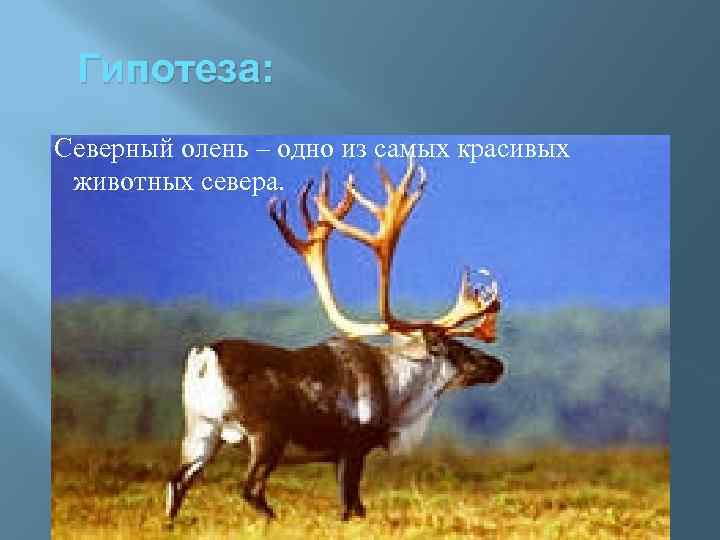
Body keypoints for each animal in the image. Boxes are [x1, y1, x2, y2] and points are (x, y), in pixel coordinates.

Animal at [165, 159, 504, 522]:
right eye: (456, 348)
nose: (498, 365)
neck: (399, 391)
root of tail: (204, 356)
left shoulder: (339, 454)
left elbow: (354, 506)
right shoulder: (353, 446)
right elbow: (351, 505)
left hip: (200, 430)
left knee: (176, 483)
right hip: (265, 434)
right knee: (250, 489)